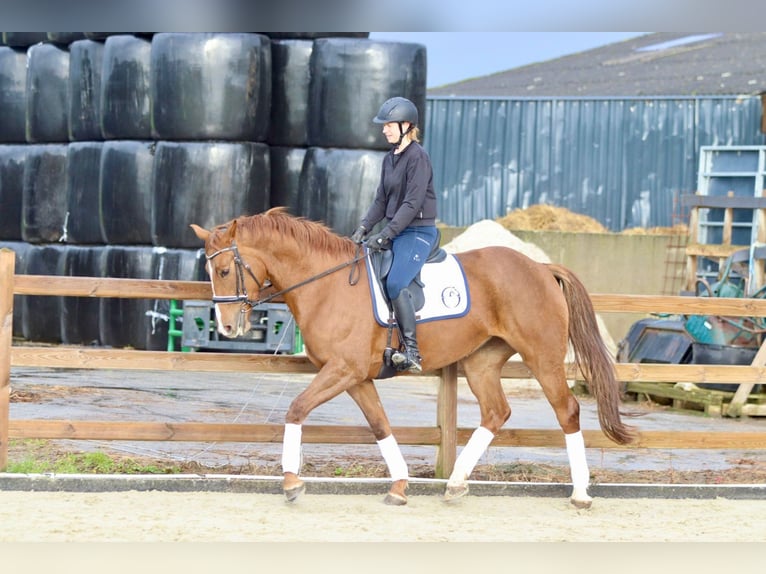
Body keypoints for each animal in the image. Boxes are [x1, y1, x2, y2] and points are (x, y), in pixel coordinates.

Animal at [192, 209, 636, 510]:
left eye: (226, 269)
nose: (227, 327)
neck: (327, 284)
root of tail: (541, 268)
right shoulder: (356, 376)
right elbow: (380, 424)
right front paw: (400, 485)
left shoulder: (343, 370)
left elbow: (297, 408)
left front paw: (290, 482)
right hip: (481, 361)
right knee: (496, 411)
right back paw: (455, 484)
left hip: (541, 358)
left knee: (567, 411)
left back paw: (580, 494)